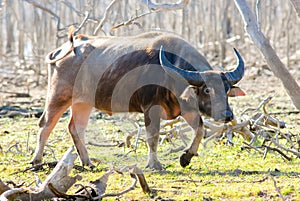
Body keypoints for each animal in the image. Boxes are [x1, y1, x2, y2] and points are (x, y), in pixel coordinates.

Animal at [30, 30, 245, 170]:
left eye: (226, 89)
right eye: (207, 89)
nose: (227, 115)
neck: (169, 74)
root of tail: (63, 50)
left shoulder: (187, 109)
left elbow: (199, 129)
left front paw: (186, 157)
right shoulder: (151, 109)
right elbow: (153, 136)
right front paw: (154, 164)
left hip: (83, 102)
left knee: (76, 128)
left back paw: (88, 162)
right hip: (58, 95)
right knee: (46, 124)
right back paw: (37, 161)